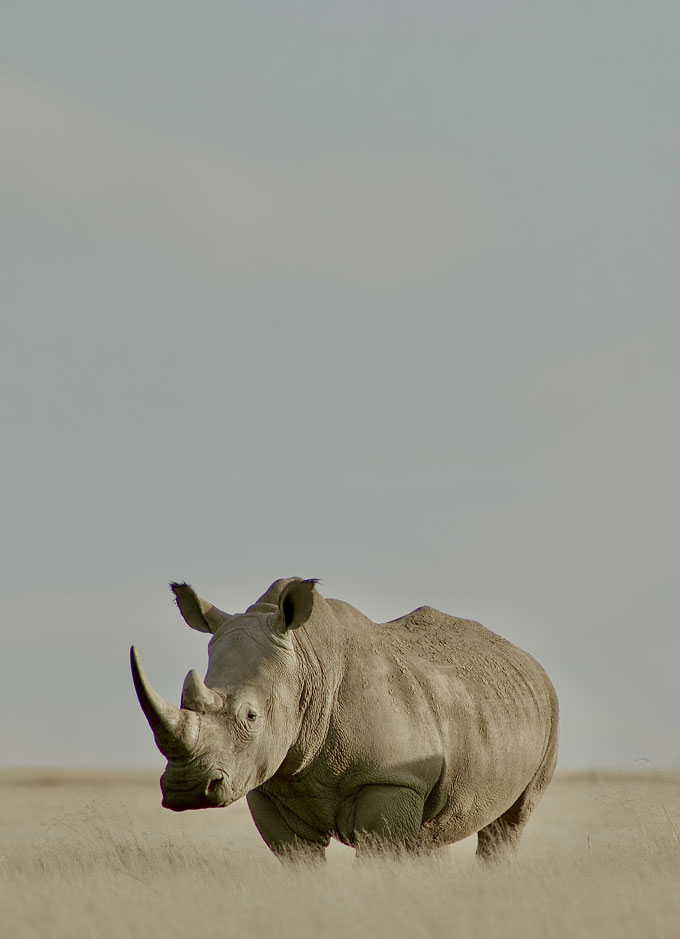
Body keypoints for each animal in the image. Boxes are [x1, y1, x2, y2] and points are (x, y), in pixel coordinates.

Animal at [131, 577, 558, 861]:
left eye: (251, 716)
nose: (187, 789)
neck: (307, 666)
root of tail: (529, 661)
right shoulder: (270, 787)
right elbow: (298, 859)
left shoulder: (390, 778)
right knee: (431, 834)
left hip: (548, 708)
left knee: (508, 825)